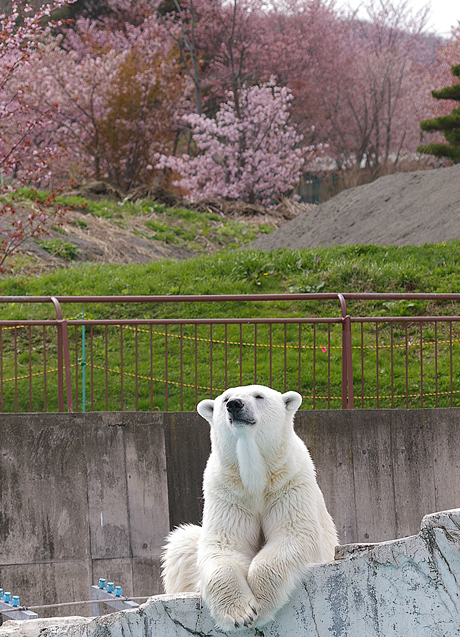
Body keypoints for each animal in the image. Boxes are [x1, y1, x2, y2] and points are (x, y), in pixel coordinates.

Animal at [162, 386, 338, 628]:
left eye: (259, 396)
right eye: (225, 399)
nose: (234, 405)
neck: (256, 480)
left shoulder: (289, 483)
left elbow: (293, 534)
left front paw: (261, 605)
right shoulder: (228, 492)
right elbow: (224, 544)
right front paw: (239, 613)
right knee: (182, 543)